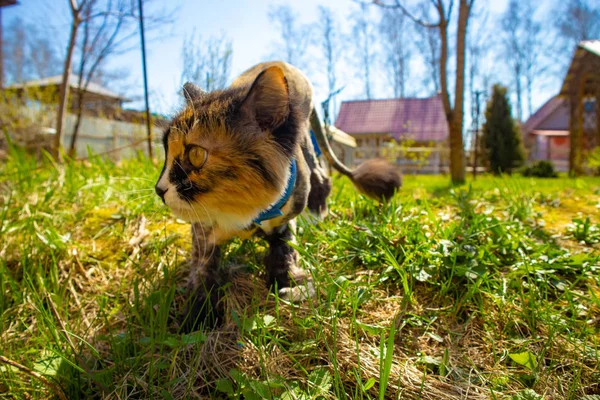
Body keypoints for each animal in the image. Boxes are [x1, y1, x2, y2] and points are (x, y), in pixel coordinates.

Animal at [155, 61, 400, 332]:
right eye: (165, 152)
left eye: (196, 155)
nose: (159, 188)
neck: (245, 212)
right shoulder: (203, 229)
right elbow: (203, 268)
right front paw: (198, 313)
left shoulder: (285, 217)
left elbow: (284, 250)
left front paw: (291, 285)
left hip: (305, 144)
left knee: (321, 177)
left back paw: (316, 217)